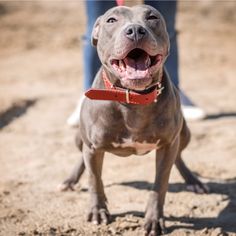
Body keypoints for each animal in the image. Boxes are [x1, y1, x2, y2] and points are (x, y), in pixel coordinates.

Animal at [60, 4, 209, 235]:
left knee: (178, 157)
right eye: (111, 20)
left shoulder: (167, 145)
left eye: (152, 17)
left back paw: (194, 181)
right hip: (80, 138)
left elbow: (160, 185)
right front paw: (98, 211)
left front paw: (154, 220)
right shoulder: (92, 147)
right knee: (82, 158)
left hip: (184, 134)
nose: (136, 31)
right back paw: (71, 180)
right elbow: (94, 179)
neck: (133, 98)